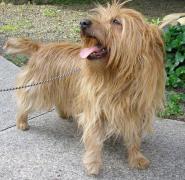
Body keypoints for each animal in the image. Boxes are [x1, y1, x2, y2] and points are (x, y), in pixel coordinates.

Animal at [3, 1, 165, 176]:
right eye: (99, 16)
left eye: (116, 21)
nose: (83, 22)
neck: (117, 77)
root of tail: (41, 47)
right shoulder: (95, 110)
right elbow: (94, 139)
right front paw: (93, 164)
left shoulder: (136, 111)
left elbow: (134, 137)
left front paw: (136, 157)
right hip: (39, 86)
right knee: (25, 100)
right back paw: (21, 121)